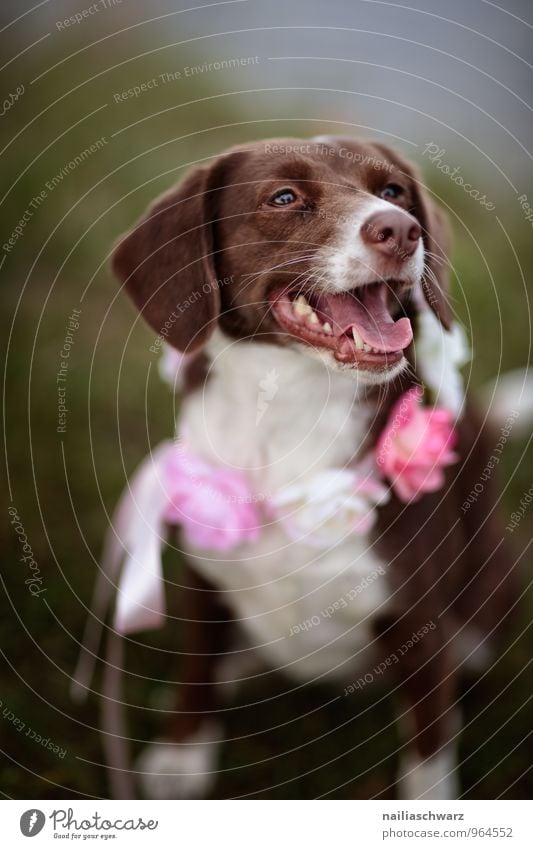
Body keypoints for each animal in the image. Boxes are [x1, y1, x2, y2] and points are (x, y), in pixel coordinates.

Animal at [104, 136, 516, 800]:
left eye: (393, 190)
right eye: (284, 197)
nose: (400, 230)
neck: (290, 410)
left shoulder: (419, 619)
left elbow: (429, 745)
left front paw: (431, 798)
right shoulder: (203, 578)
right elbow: (196, 669)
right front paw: (181, 759)